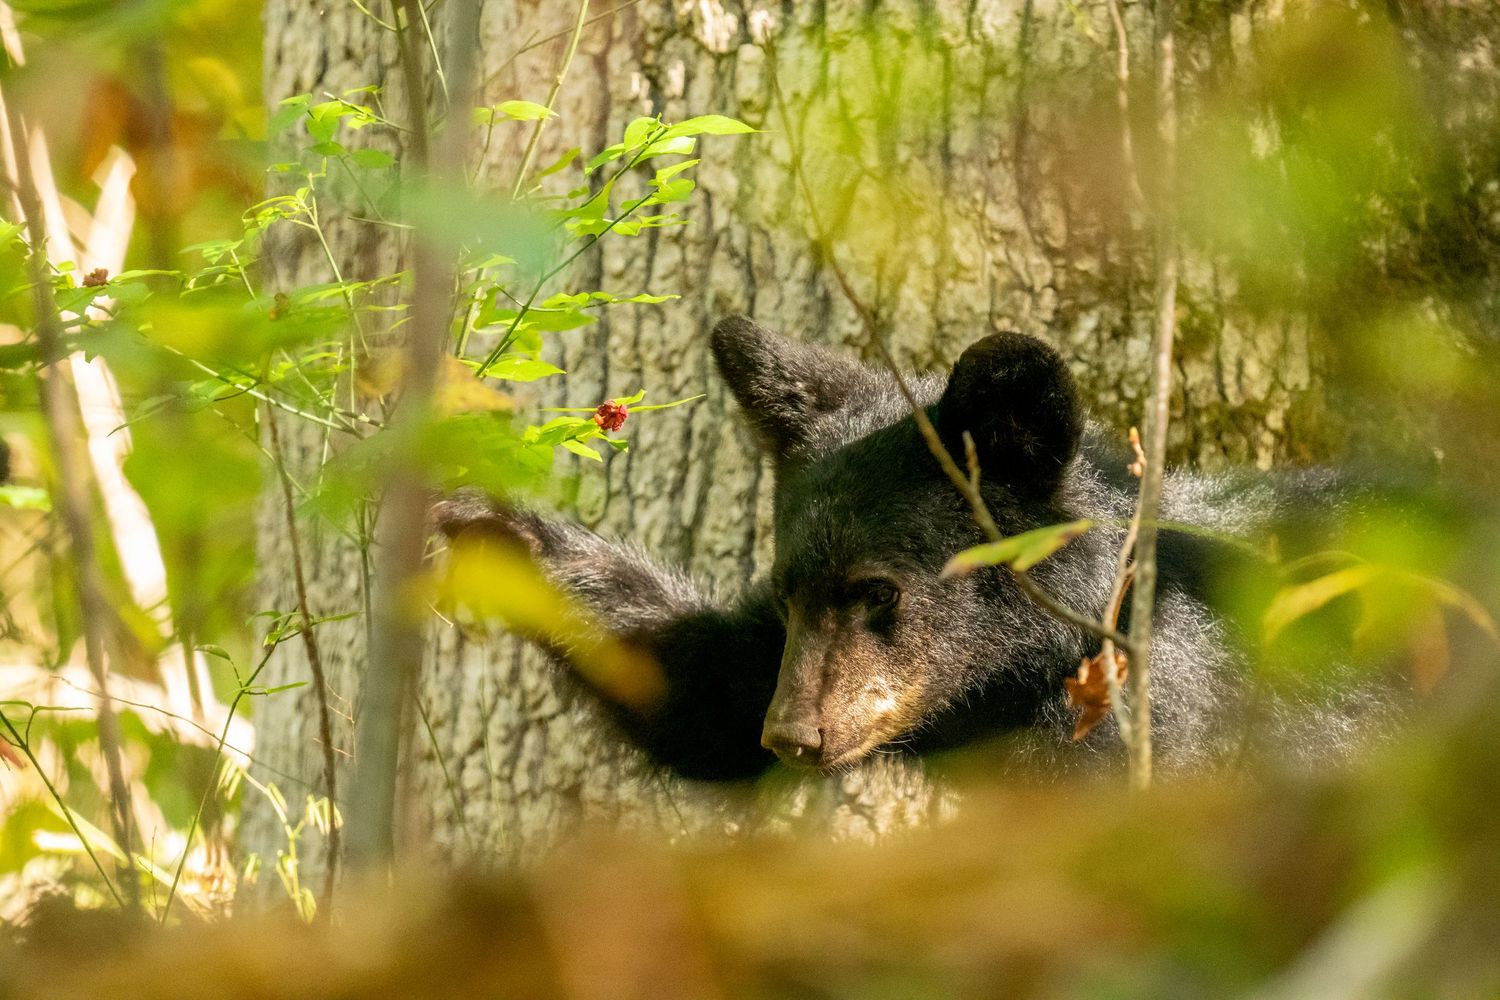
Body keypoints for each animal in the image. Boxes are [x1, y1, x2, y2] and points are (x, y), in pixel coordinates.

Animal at [434, 317, 1398, 782]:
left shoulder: (1142, 724)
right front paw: (489, 522)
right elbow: (700, 685)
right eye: (787, 593)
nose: (792, 737)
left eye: (878, 590)